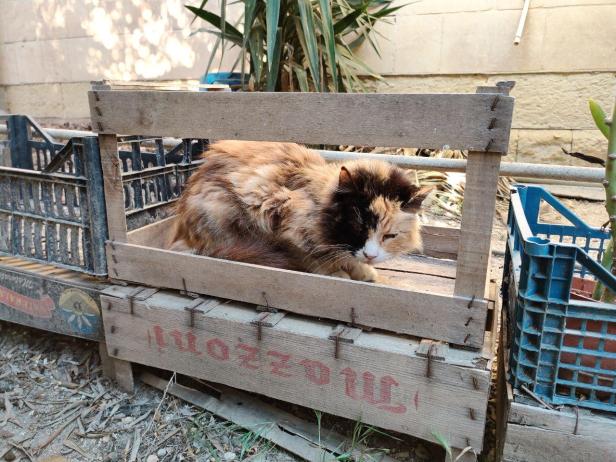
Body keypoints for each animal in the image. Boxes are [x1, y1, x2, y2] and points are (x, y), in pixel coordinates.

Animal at [171, 140, 431, 282]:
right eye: (358, 227)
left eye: (390, 236)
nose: (370, 255)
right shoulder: (277, 220)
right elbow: (312, 257)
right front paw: (336, 273)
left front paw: (363, 270)